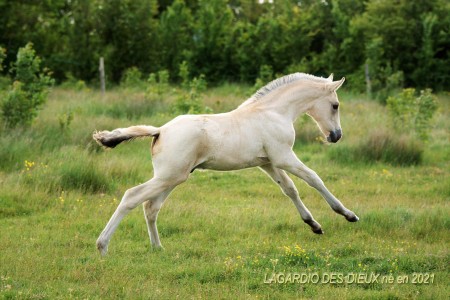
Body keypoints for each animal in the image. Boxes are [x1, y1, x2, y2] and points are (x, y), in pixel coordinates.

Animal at [94, 72, 358, 255]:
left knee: (151, 207)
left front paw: (314, 225)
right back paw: (102, 246)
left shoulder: (268, 162)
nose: (336, 136)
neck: (273, 112)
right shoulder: (284, 156)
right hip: (169, 177)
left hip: (171, 178)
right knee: (131, 197)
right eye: (335, 105)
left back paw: (158, 248)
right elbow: (314, 178)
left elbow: (289, 189)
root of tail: (160, 131)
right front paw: (348, 214)